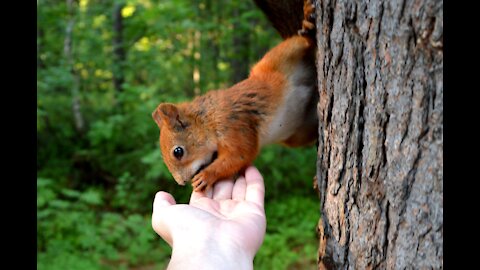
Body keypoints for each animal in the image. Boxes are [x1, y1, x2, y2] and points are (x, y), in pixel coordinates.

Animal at [154, 0, 316, 191]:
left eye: (178, 152)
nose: (181, 182)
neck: (208, 119)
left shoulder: (233, 124)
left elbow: (240, 154)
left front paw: (206, 176)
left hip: (281, 56)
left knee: (302, 41)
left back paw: (307, 23)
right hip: (298, 133)